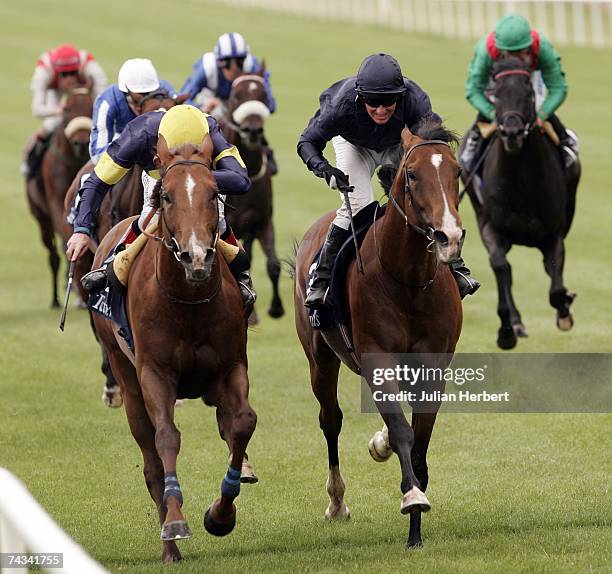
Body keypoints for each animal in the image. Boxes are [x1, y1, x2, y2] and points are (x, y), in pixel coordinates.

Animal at [25, 80, 93, 310]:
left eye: (91, 106)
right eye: (66, 109)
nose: (81, 143)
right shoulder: (56, 203)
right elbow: (64, 243)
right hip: (41, 218)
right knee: (53, 255)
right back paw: (56, 298)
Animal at [89, 132, 255, 564]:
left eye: (214, 193)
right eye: (165, 196)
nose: (196, 256)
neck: (188, 302)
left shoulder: (230, 367)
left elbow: (242, 423)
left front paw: (221, 514)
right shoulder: (154, 374)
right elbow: (166, 437)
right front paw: (176, 521)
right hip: (127, 379)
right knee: (150, 460)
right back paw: (169, 546)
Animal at [296, 122, 464, 548]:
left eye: (457, 172)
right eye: (413, 174)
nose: (449, 236)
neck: (408, 279)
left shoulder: (433, 369)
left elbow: (419, 443)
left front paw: (415, 533)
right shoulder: (377, 360)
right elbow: (404, 433)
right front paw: (412, 497)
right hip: (320, 357)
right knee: (330, 419)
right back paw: (337, 502)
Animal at [462, 57, 580, 352]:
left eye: (528, 93)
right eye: (495, 94)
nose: (512, 132)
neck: (521, 184)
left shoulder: (553, 234)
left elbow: (555, 285)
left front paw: (564, 311)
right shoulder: (491, 227)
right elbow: (501, 268)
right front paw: (507, 329)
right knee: (505, 272)